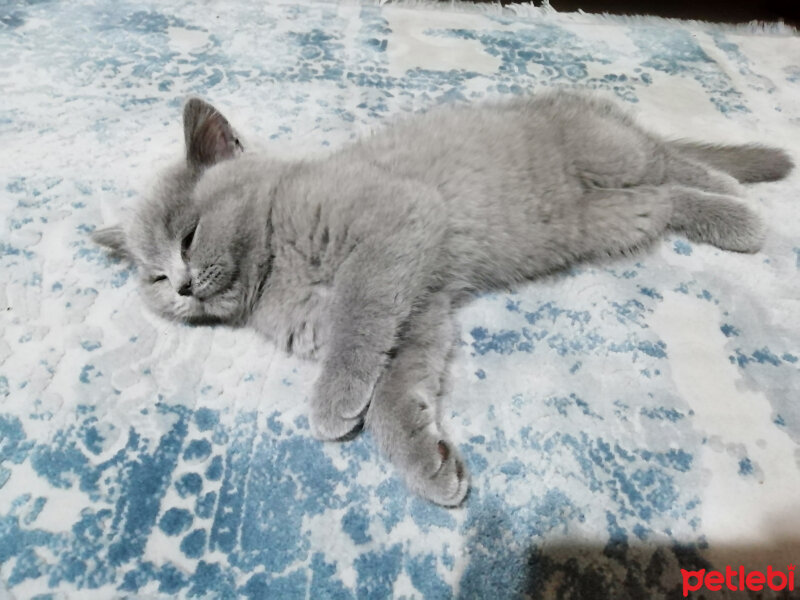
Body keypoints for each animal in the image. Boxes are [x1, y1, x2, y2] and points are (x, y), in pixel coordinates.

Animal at [92, 92, 788, 506]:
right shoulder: (421, 310)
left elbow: (357, 324)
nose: (182, 287)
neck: (275, 272)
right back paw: (732, 218)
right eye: (154, 279)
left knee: (668, 158)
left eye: (188, 237)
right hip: (604, 219)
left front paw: (332, 400)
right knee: (663, 199)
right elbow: (394, 392)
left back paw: (736, 195)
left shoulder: (395, 227)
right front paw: (428, 461)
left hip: (609, 155)